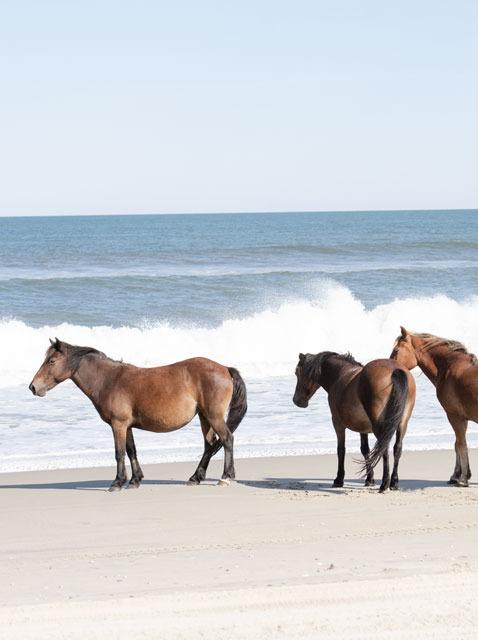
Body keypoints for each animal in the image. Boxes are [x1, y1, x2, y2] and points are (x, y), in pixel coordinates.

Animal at [29, 340, 246, 490]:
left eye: (51, 361)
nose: (33, 387)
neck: (109, 380)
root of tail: (225, 368)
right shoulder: (127, 426)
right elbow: (132, 450)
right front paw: (134, 480)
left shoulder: (118, 424)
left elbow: (119, 453)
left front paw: (117, 482)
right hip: (204, 417)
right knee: (210, 445)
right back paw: (195, 478)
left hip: (213, 416)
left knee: (227, 439)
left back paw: (225, 477)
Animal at [292, 352, 414, 492]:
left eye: (297, 372)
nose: (296, 401)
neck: (340, 375)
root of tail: (394, 370)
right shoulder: (363, 428)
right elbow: (365, 450)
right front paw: (369, 479)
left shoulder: (337, 423)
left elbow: (341, 450)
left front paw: (339, 479)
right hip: (402, 424)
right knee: (397, 448)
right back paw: (394, 482)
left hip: (380, 427)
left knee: (384, 448)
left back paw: (385, 484)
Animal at [390, 328, 476, 488]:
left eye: (396, 350)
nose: (389, 366)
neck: (450, 367)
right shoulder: (460, 417)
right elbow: (457, 444)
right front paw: (457, 475)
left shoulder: (454, 416)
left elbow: (461, 444)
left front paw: (462, 478)